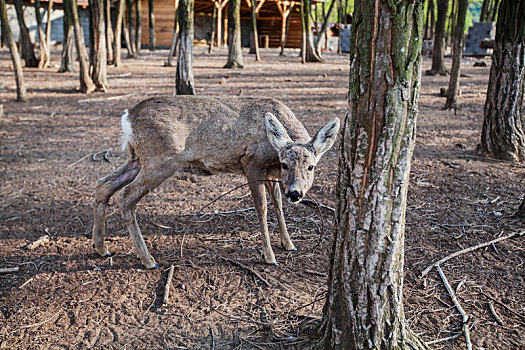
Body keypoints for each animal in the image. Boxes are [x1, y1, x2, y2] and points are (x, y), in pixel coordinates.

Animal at [91, 95, 338, 268]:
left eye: (311, 167)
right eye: (285, 164)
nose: (296, 193)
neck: (272, 151)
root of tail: (127, 118)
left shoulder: (270, 173)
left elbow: (277, 204)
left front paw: (289, 244)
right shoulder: (252, 163)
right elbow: (262, 207)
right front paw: (269, 256)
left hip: (136, 158)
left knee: (103, 185)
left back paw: (101, 247)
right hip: (160, 160)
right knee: (126, 197)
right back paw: (147, 259)